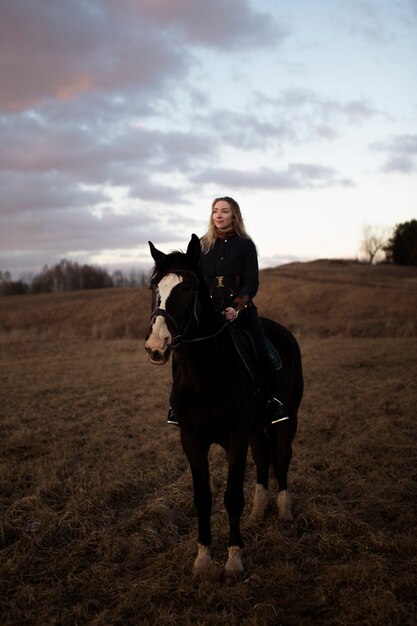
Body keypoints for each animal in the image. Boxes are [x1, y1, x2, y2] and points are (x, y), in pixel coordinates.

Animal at [145, 235, 300, 580]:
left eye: (188, 288)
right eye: (154, 288)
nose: (156, 347)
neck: (205, 376)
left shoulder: (235, 439)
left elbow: (231, 497)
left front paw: (233, 560)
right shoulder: (192, 440)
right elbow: (203, 498)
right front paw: (203, 558)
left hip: (287, 418)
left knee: (281, 457)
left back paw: (284, 511)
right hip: (256, 428)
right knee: (263, 459)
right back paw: (258, 512)